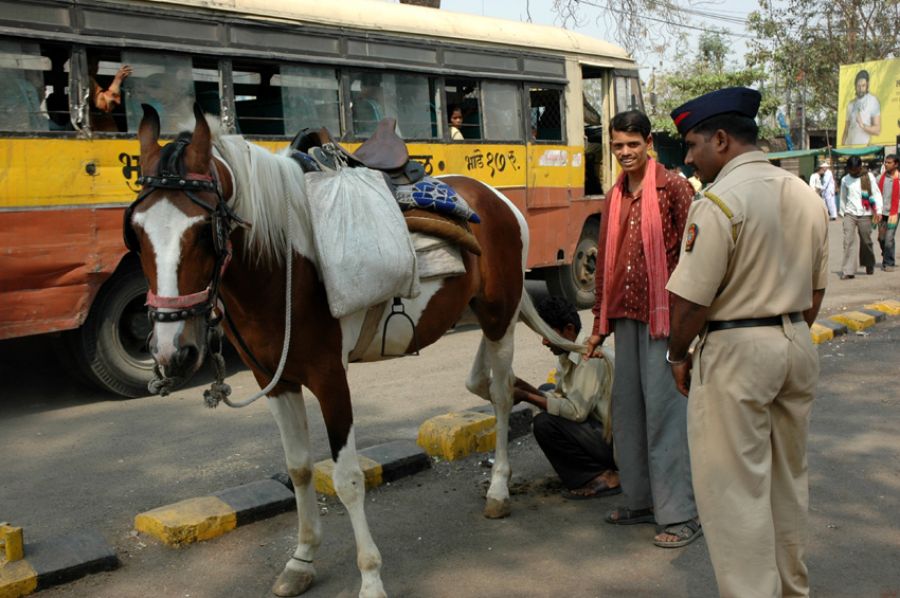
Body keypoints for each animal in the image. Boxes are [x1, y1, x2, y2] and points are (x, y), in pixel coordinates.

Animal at [125, 105, 576, 596]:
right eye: (136, 232)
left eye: (204, 230)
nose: (172, 351)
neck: (285, 266)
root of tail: (501, 201)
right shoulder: (274, 380)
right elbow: (299, 468)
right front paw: (301, 560)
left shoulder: (329, 377)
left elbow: (347, 479)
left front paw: (371, 578)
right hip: (482, 313)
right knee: (487, 380)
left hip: (499, 316)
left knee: (500, 394)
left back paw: (498, 490)